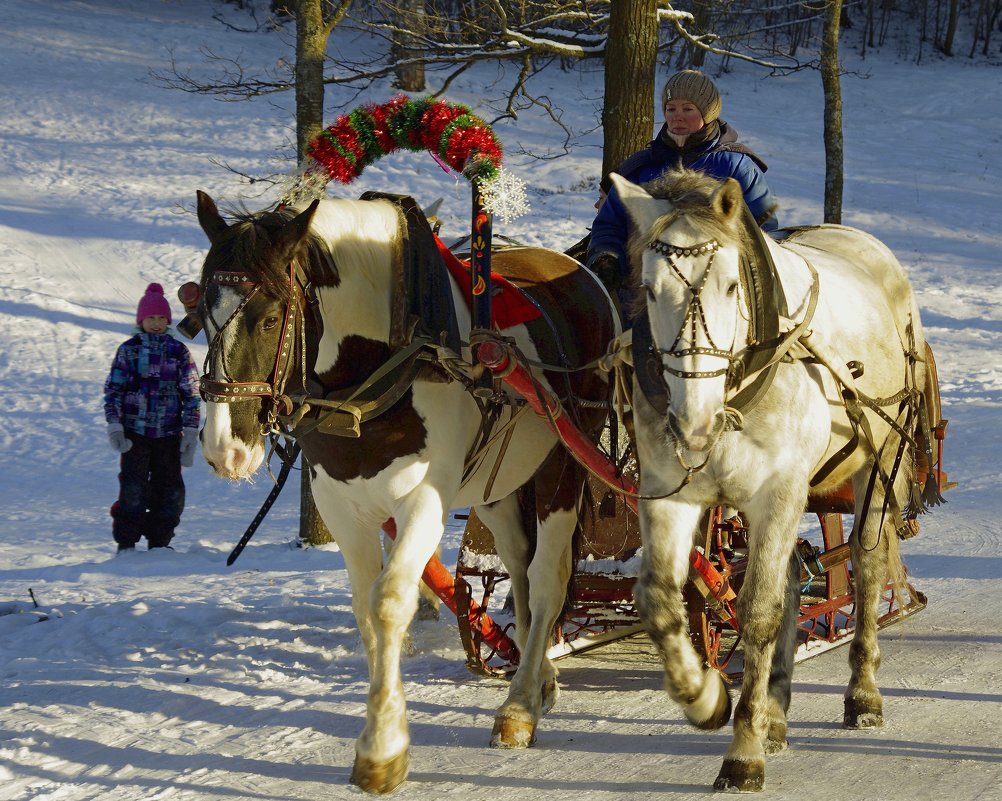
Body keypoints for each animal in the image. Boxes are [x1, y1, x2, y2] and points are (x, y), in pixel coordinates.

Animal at [188, 192, 617, 793]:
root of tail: (575, 268)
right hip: (499, 480)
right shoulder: (343, 509)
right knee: (521, 564)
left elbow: (391, 602)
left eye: (271, 317)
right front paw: (379, 738)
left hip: (565, 461)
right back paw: (538, 679)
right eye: (203, 315)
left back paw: (518, 709)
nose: (225, 447)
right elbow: (366, 612)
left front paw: (383, 750)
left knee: (549, 576)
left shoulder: (423, 504)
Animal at [609, 167, 929, 789]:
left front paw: (743, 752)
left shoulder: (777, 491)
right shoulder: (669, 493)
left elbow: (756, 613)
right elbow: (659, 600)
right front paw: (705, 697)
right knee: (792, 581)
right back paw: (776, 712)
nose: (694, 425)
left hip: (875, 466)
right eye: (650, 288)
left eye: (733, 286)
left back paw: (862, 693)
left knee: (864, 567)